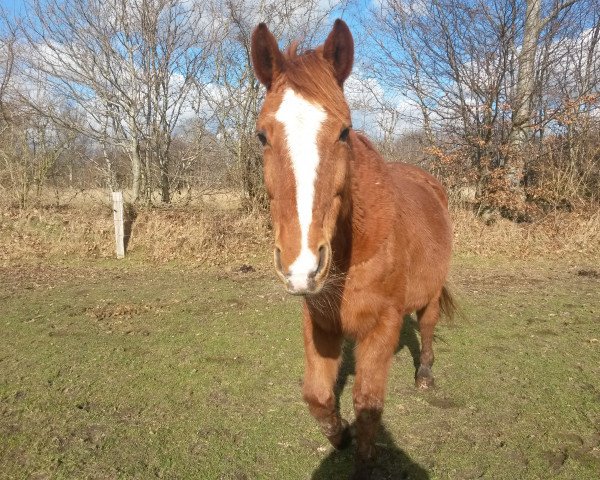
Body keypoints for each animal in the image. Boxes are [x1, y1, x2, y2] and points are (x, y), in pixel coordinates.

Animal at [251, 19, 452, 472]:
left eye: (344, 131)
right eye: (261, 136)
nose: (302, 266)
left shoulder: (382, 326)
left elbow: (368, 405)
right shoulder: (320, 323)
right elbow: (317, 396)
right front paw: (339, 434)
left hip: (430, 294)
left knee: (428, 327)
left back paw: (426, 375)